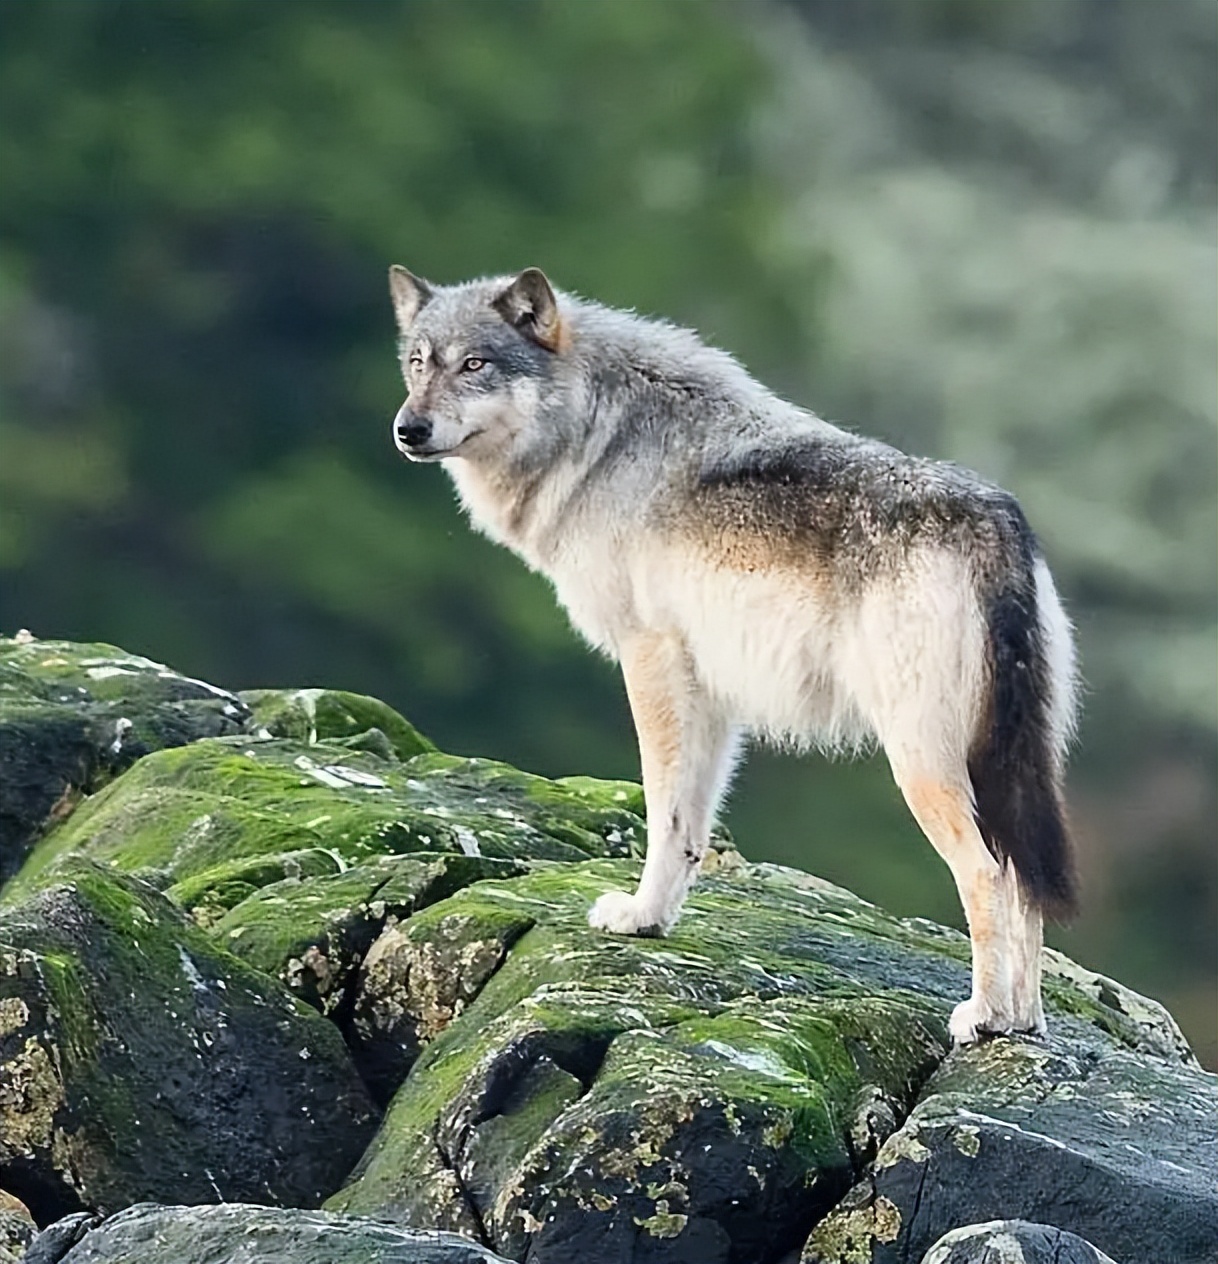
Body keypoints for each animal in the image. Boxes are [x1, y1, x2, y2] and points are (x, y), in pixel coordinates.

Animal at [386, 261, 1076, 1041]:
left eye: (475, 364)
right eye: (419, 363)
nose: (408, 428)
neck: (599, 439)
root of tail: (998, 521)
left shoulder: (649, 658)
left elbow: (662, 810)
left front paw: (634, 916)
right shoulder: (711, 691)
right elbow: (691, 824)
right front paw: (653, 921)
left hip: (921, 763)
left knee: (987, 874)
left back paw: (984, 1016)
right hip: (1008, 768)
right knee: (1024, 881)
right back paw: (1024, 1021)